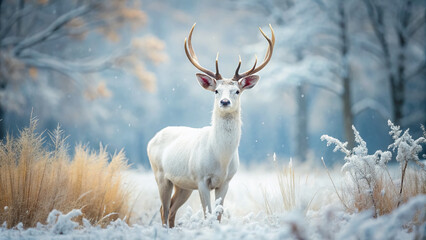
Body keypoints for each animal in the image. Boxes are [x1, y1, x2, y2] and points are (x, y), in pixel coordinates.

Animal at [147, 23, 276, 228]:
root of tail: (152, 139)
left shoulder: (226, 181)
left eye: (237, 91)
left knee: (171, 210)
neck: (221, 158)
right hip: (160, 175)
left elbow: (218, 215)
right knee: (164, 210)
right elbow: (207, 214)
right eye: (216, 90)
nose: (224, 102)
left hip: (183, 185)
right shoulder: (201, 179)